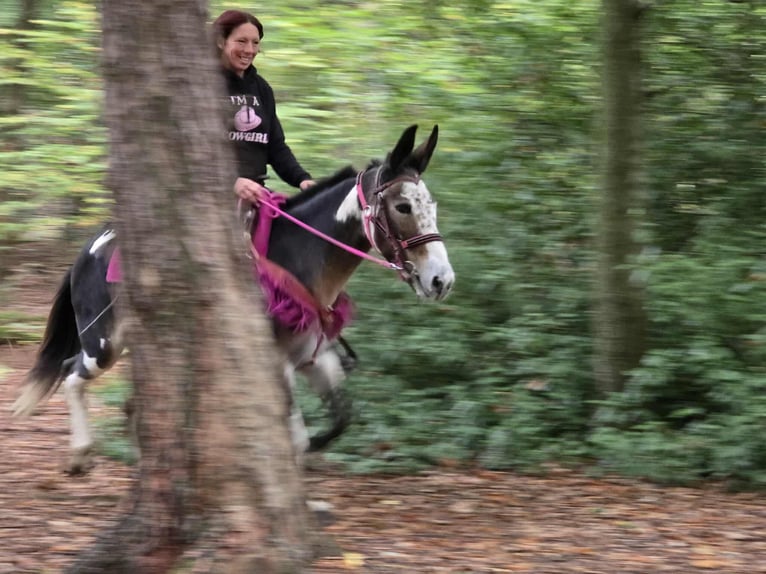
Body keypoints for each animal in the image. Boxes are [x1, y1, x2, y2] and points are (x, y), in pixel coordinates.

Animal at [12, 124, 455, 474]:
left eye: (430, 204)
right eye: (402, 206)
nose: (441, 281)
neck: (297, 259)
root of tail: (90, 247)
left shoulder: (314, 356)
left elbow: (339, 420)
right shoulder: (275, 363)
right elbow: (295, 437)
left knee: (134, 402)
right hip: (104, 341)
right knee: (71, 373)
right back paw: (81, 454)